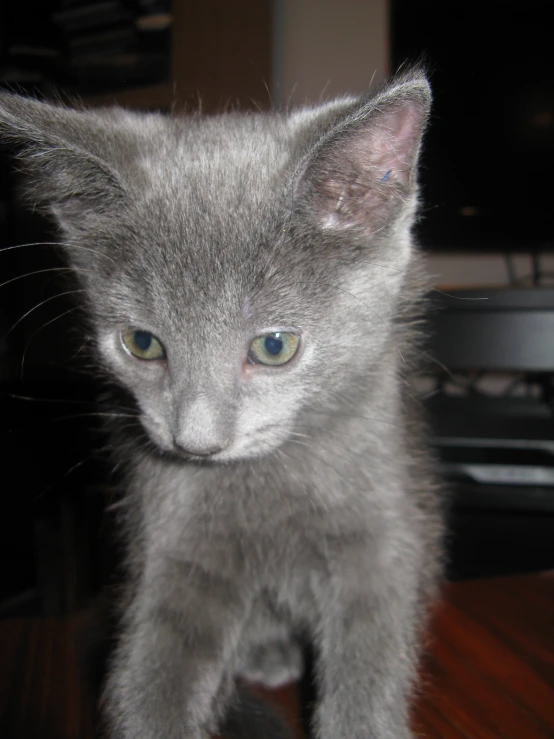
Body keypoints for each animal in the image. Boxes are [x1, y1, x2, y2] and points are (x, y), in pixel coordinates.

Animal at [0, 71, 440, 739]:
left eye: (274, 346)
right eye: (142, 343)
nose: (195, 442)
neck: (267, 479)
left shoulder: (381, 523)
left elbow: (371, 652)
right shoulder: (172, 533)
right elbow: (153, 674)